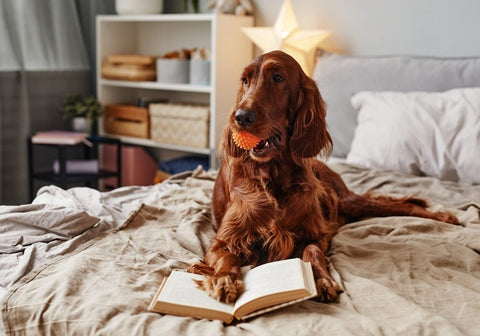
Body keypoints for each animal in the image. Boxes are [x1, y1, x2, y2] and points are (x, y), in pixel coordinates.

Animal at [188, 50, 458, 304]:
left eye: (278, 78)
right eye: (245, 80)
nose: (241, 117)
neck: (274, 178)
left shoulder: (314, 234)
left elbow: (312, 252)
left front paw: (321, 279)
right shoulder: (223, 241)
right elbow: (228, 257)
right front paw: (224, 280)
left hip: (348, 201)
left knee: (405, 205)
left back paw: (443, 216)